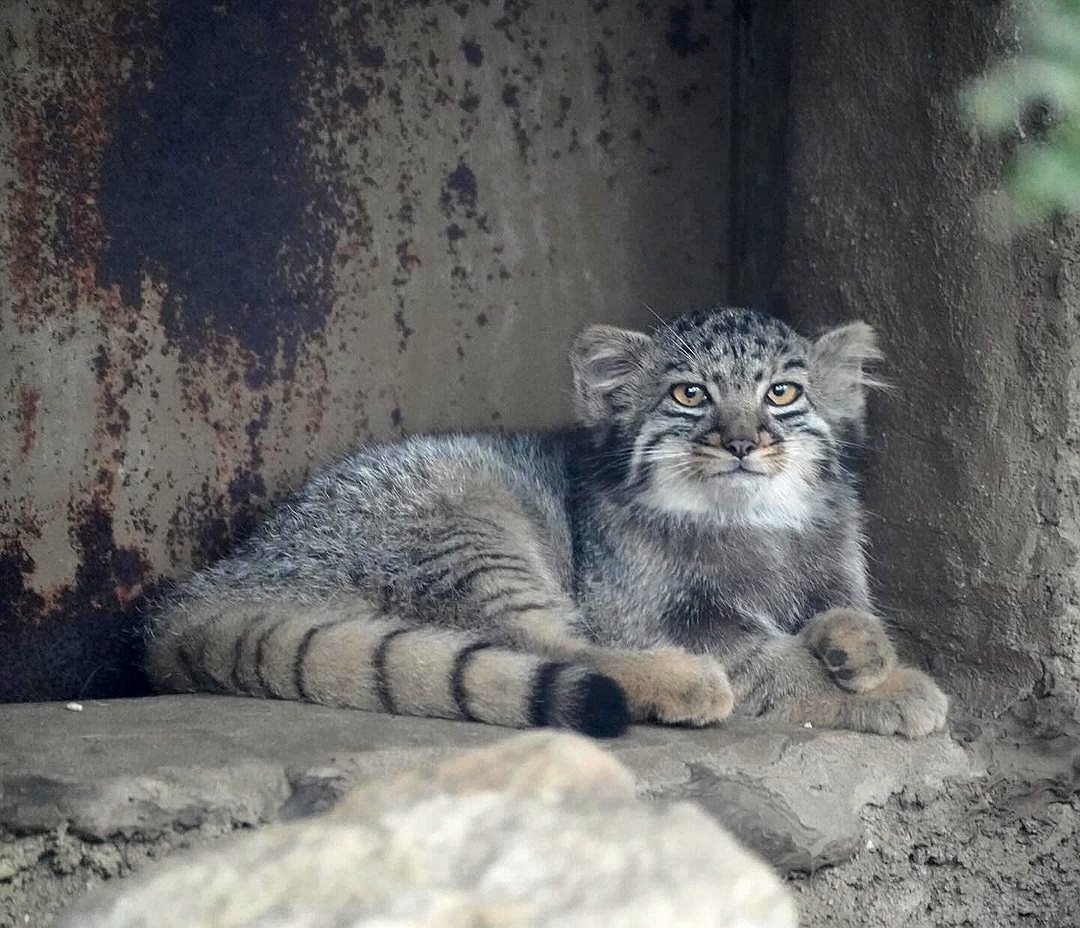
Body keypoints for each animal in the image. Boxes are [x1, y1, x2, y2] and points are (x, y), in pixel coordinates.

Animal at [145, 311, 946, 738]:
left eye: (782, 393)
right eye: (690, 395)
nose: (743, 442)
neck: (756, 526)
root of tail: (219, 580)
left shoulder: (833, 569)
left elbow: (843, 613)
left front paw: (863, 649)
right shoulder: (644, 610)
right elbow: (766, 660)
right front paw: (894, 689)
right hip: (470, 523)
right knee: (548, 644)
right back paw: (679, 682)